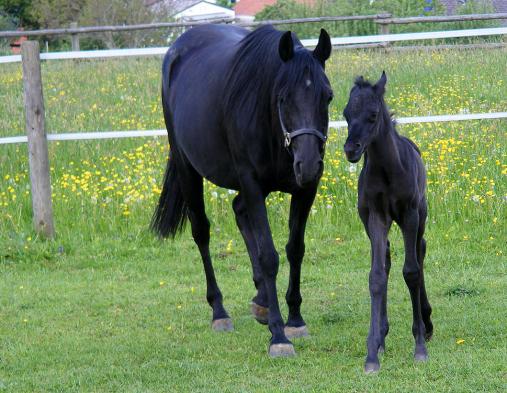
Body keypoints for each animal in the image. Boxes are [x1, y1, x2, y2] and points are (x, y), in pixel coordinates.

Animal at [151, 23, 334, 356]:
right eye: (283, 97)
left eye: (327, 96)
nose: (309, 164)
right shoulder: (251, 183)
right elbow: (269, 256)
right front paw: (278, 335)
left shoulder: (305, 190)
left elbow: (295, 249)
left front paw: (295, 319)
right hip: (187, 169)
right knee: (202, 233)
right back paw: (220, 312)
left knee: (239, 211)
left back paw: (261, 300)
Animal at [344, 72, 434, 372]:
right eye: (346, 114)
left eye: (372, 115)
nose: (350, 149)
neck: (388, 169)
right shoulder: (376, 217)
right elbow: (377, 276)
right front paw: (372, 353)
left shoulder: (409, 214)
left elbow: (412, 272)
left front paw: (419, 347)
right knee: (386, 258)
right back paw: (381, 336)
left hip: (421, 216)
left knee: (420, 250)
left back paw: (427, 323)